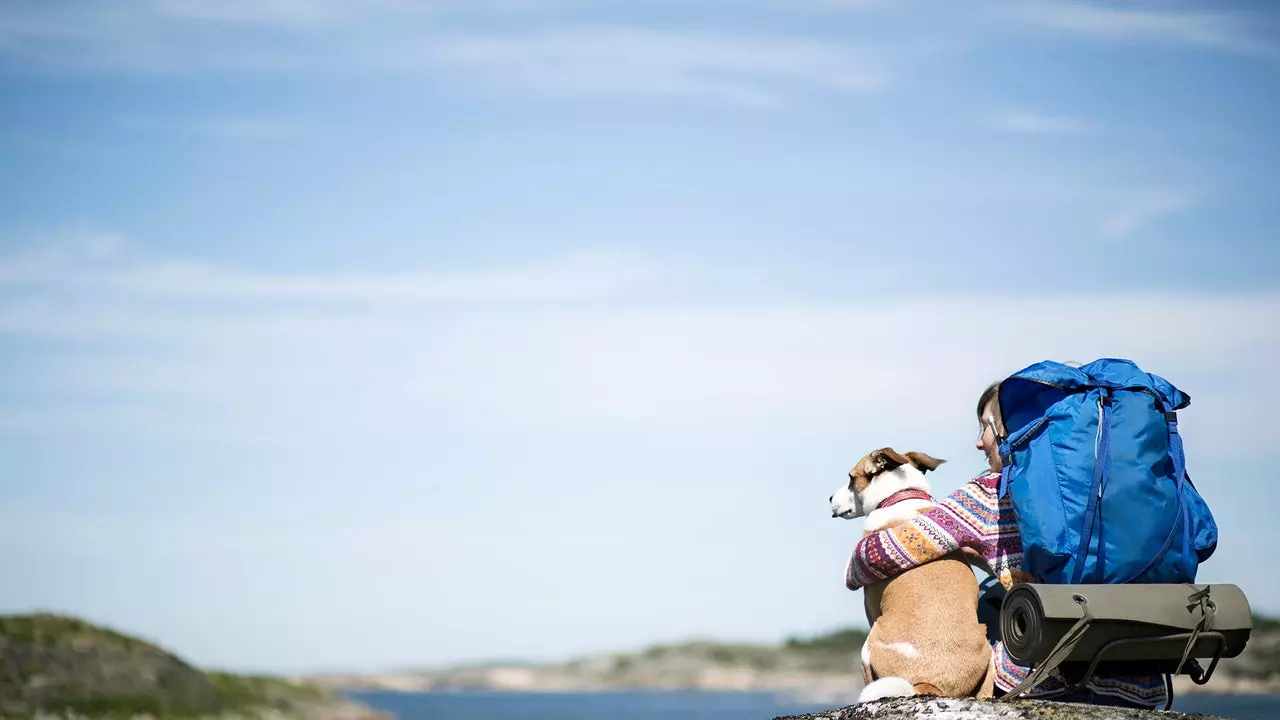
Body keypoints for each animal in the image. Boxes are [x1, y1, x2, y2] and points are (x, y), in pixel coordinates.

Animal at [829, 445, 998, 696]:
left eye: (851, 478)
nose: (830, 498)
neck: (900, 495)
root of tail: (930, 685)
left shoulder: (870, 605)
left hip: (869, 642)